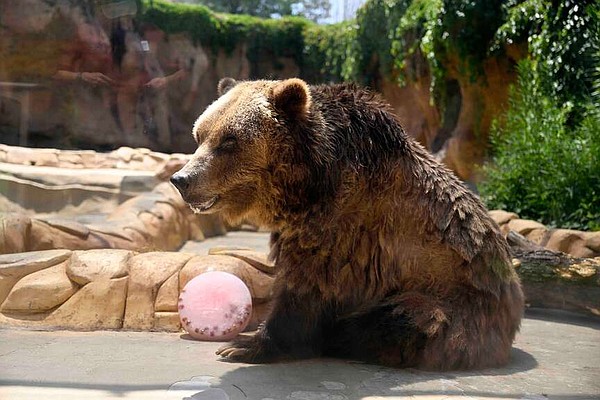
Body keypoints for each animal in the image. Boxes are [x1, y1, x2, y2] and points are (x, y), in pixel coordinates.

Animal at [171, 78, 524, 372]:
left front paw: (246, 345)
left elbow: (307, 282)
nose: (182, 179)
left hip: (456, 299)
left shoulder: (347, 220)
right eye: (200, 135)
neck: (307, 181)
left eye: (229, 140)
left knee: (411, 318)